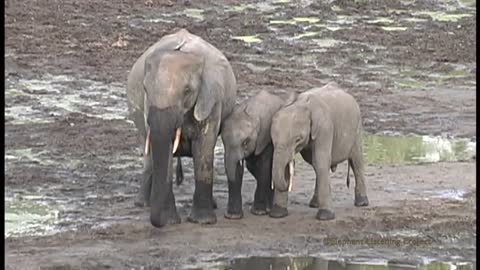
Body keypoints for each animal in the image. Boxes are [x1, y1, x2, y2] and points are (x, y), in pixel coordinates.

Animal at [126, 29, 237, 228]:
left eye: (187, 91)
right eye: (145, 89)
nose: (159, 223)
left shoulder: (211, 100)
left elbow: (204, 148)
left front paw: (202, 222)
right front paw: (170, 221)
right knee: (147, 155)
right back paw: (142, 204)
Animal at [221, 89, 296, 218]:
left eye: (245, 142)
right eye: (222, 140)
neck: (252, 110)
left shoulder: (266, 137)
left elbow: (264, 168)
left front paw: (259, 212)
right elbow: (241, 169)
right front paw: (233, 216)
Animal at [268, 83, 370, 221]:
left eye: (298, 139)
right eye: (272, 139)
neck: (302, 104)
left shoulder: (325, 128)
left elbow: (321, 161)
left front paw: (325, 217)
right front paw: (278, 214)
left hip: (357, 129)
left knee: (356, 162)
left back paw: (362, 203)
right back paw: (314, 204)